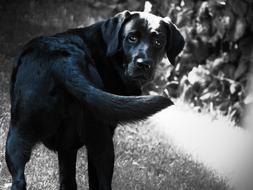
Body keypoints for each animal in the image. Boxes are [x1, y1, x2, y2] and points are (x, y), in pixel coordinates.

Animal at [5, 10, 184, 190]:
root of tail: (61, 62)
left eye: (158, 42)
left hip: (18, 134)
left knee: (19, 178)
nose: (143, 64)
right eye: (131, 38)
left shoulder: (66, 147)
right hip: (101, 140)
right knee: (104, 182)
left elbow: (67, 179)